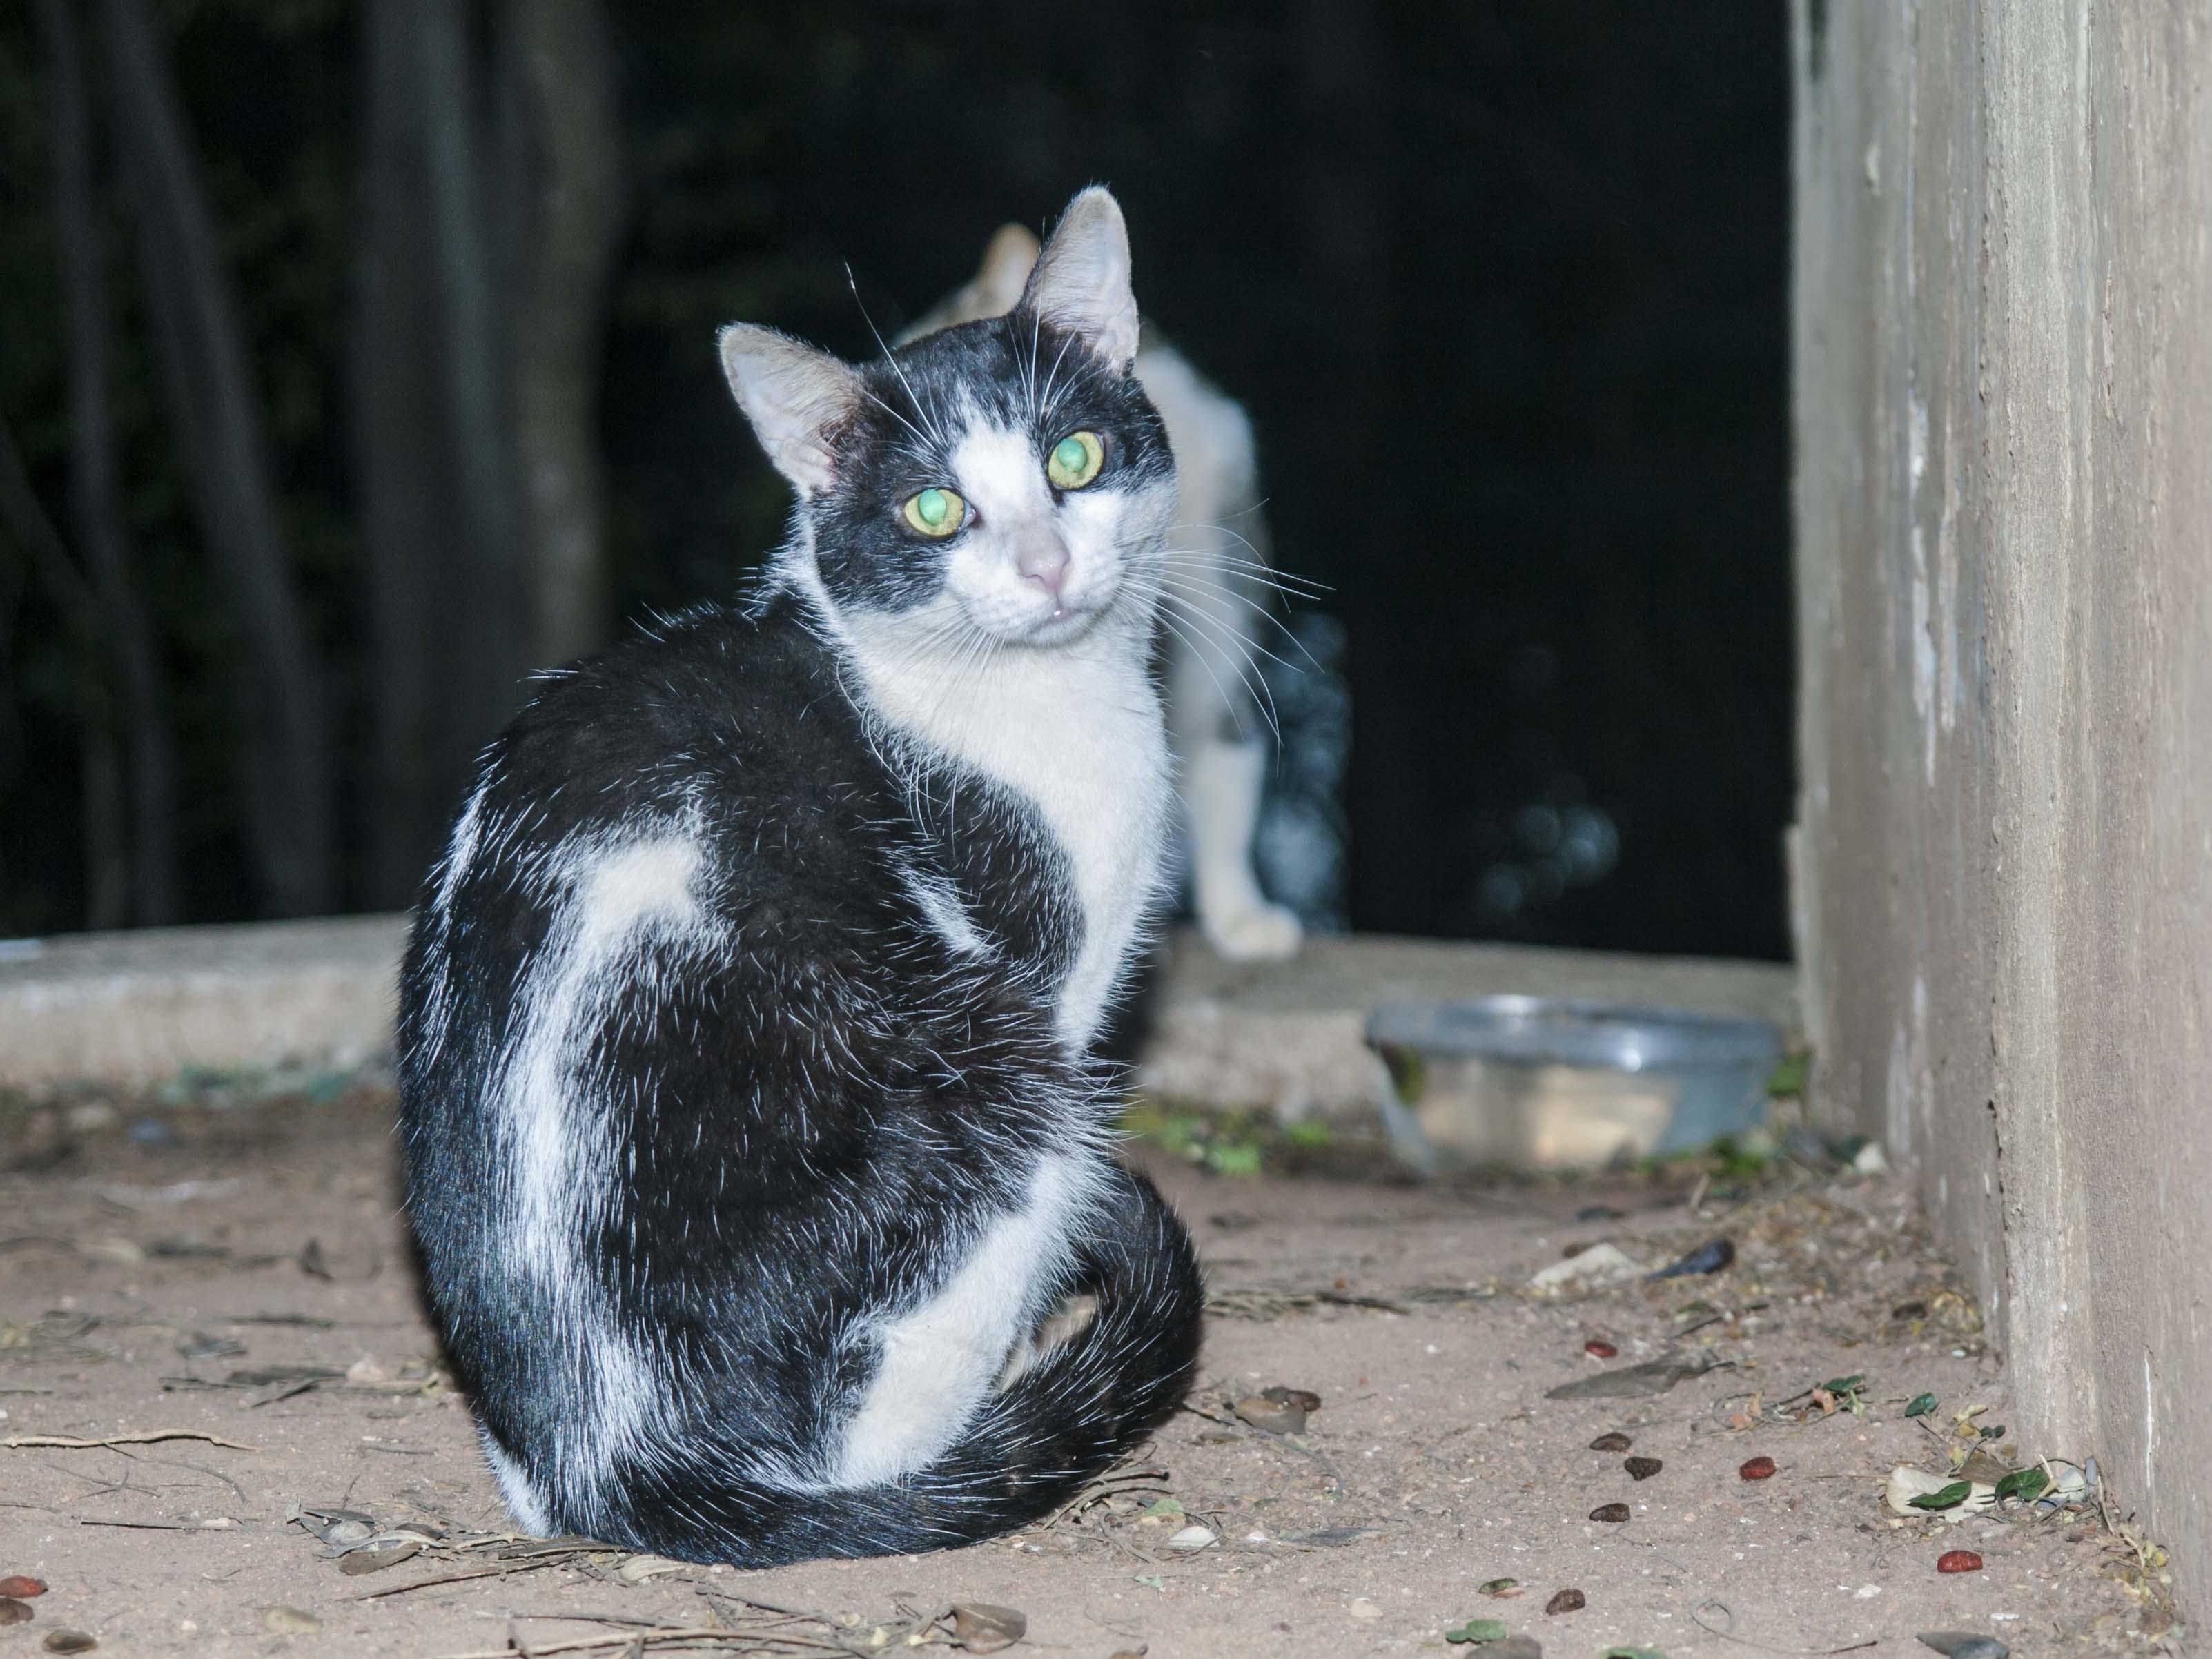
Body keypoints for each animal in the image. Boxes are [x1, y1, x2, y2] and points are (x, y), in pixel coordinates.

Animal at [389, 188, 1203, 1566]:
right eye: (935, 510)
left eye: (1075, 460)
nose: (1046, 567)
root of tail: (614, 1462)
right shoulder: (1049, 962)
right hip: (1003, 1085)